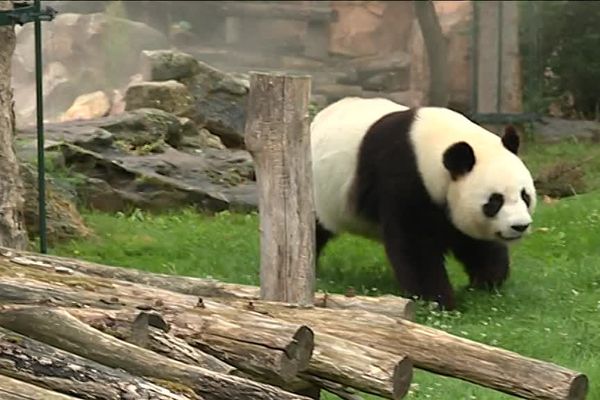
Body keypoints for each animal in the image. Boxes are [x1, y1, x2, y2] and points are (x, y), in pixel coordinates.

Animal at [312, 96, 536, 310]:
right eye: (495, 201)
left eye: (525, 195)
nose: (519, 226)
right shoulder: (403, 178)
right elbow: (415, 245)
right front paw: (438, 300)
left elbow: (475, 242)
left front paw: (485, 283)